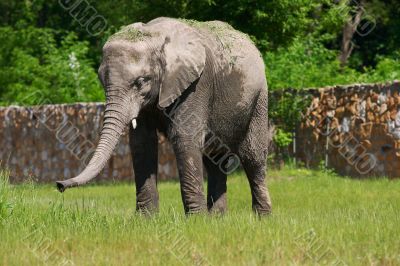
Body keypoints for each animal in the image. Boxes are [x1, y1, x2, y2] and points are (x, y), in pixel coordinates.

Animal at [55, 17, 272, 215]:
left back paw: (262, 218)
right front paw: (146, 219)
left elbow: (184, 138)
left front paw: (196, 221)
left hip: (259, 97)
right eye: (101, 79)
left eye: (141, 81)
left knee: (252, 156)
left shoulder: (197, 84)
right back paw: (217, 219)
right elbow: (142, 143)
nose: (59, 185)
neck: (155, 35)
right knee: (215, 161)